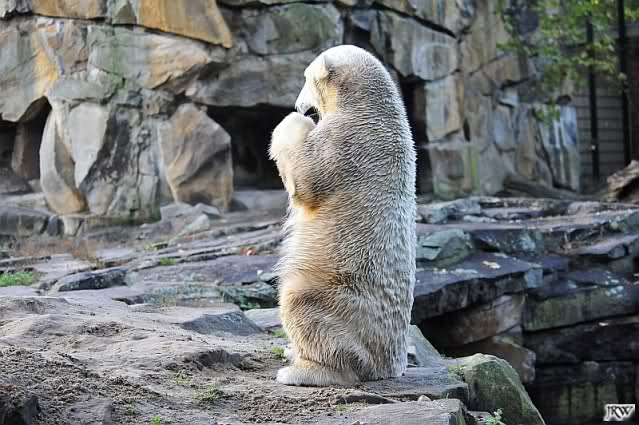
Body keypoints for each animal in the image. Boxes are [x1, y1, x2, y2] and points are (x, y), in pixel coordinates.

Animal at [269, 45, 416, 387]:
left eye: (306, 78)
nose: (299, 105)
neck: (369, 106)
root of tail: (388, 366)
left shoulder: (346, 140)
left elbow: (307, 178)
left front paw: (293, 121)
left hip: (339, 295)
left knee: (300, 302)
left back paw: (301, 370)